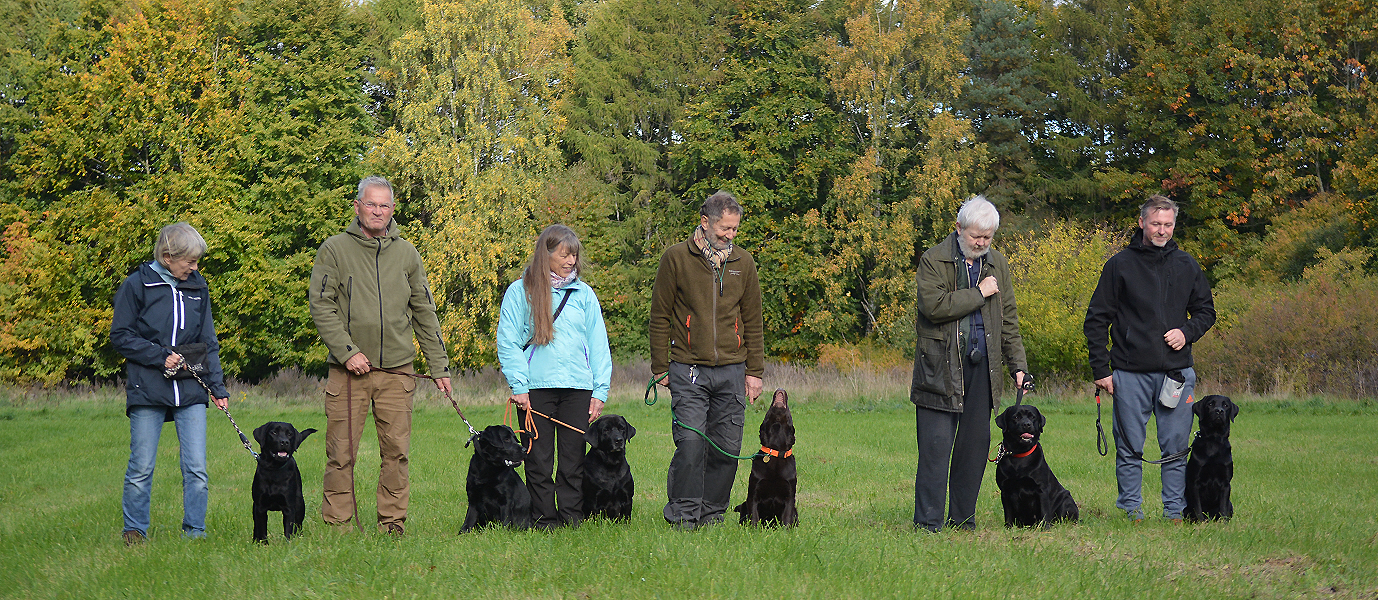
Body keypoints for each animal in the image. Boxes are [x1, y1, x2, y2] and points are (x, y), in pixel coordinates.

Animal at [733, 388, 799, 526]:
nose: (780, 388)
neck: (775, 450)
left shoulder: (789, 496)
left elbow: (786, 520)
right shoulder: (753, 495)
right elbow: (754, 518)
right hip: (744, 504)